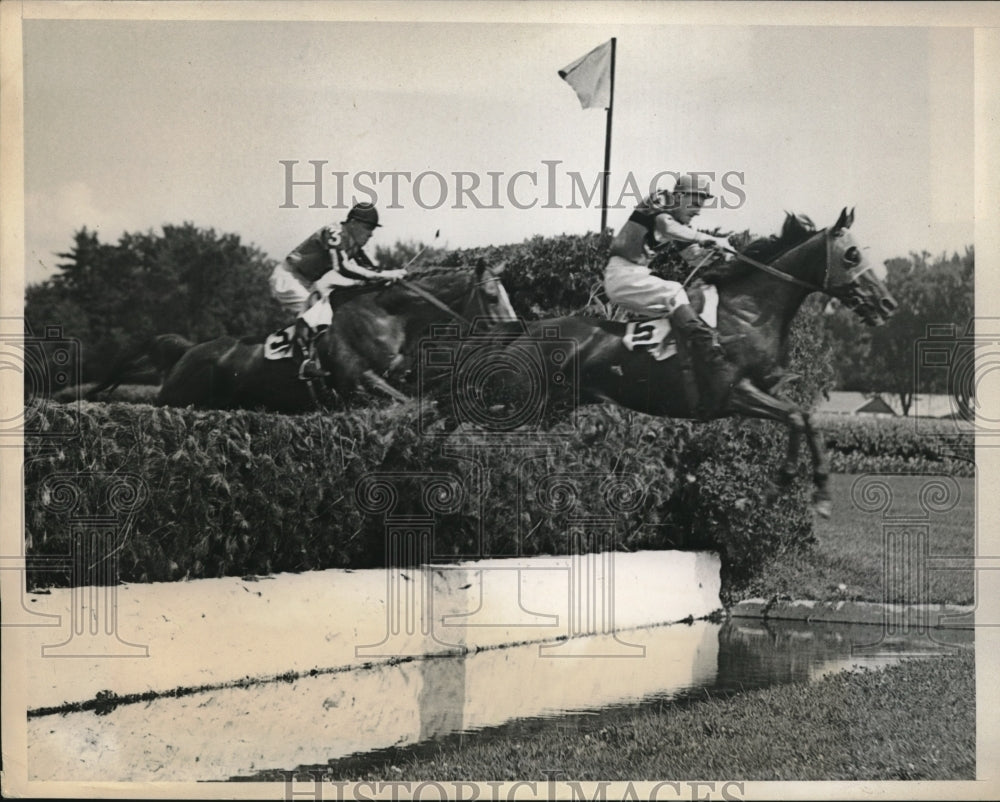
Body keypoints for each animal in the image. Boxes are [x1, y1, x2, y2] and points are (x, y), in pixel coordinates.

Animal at [152, 262, 520, 412]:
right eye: (491, 297)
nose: (516, 332)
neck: (387, 317)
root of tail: (186, 352)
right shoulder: (357, 383)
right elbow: (411, 403)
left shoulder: (402, 374)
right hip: (178, 399)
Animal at [430, 209, 900, 516]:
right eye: (852, 255)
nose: (887, 305)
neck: (748, 310)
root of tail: (525, 331)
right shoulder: (734, 393)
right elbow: (797, 417)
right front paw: (795, 488)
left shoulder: (762, 391)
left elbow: (804, 418)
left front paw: (804, 489)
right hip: (519, 400)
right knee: (458, 411)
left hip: (548, 407)